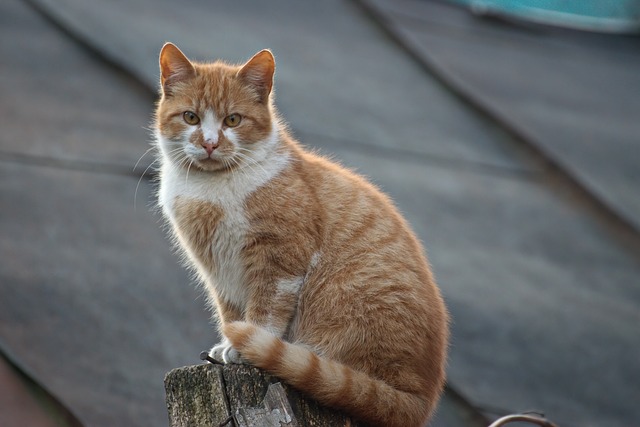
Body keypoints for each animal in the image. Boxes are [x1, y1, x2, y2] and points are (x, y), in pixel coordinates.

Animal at [154, 41, 450, 427]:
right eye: (190, 117)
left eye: (232, 120)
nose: (209, 143)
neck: (211, 190)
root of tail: (419, 399)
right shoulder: (218, 269)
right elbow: (231, 312)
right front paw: (228, 345)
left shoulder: (280, 256)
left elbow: (265, 310)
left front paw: (247, 345)